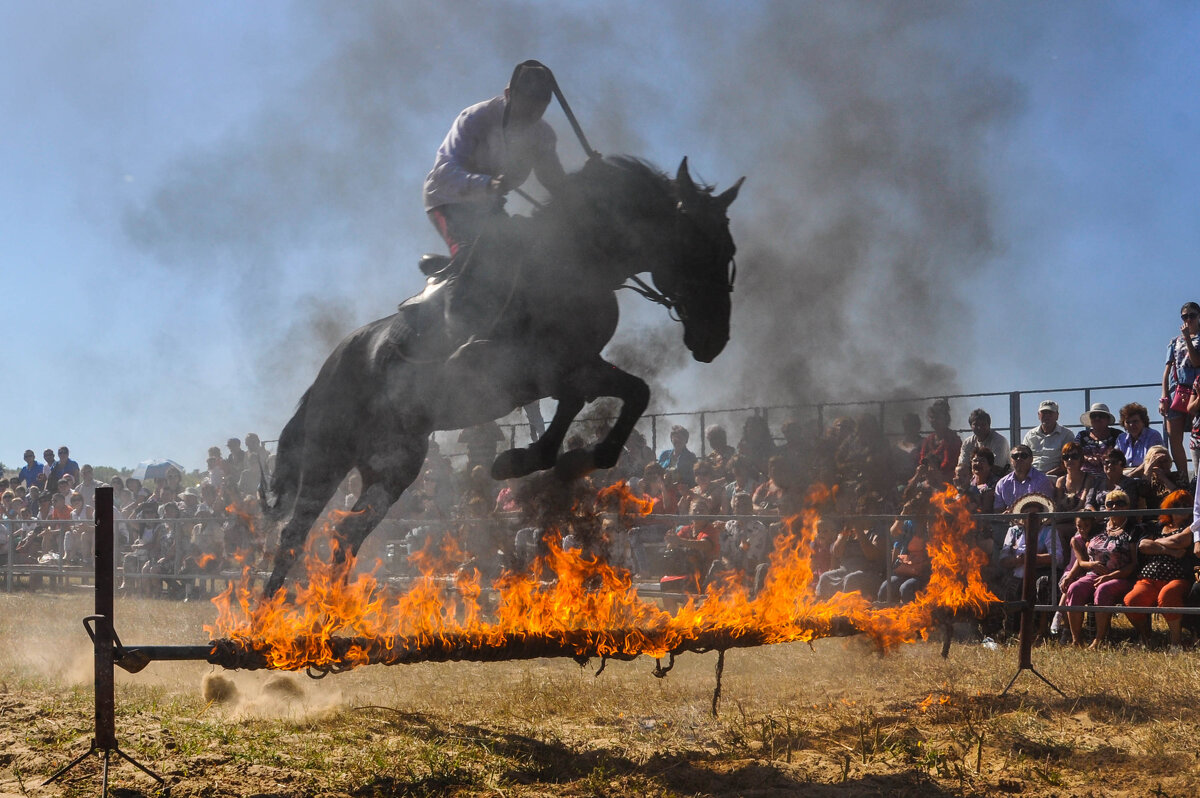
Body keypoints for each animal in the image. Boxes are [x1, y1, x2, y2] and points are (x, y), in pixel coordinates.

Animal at [262, 156, 739, 595]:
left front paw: (545, 458)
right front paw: (548, 456)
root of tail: (330, 369)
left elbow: (630, 393)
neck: (576, 261)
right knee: (294, 535)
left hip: (394, 463)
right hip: (327, 458)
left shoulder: (577, 364)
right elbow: (600, 396)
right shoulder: (532, 368)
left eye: (729, 250)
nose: (714, 339)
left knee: (347, 532)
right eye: (700, 243)